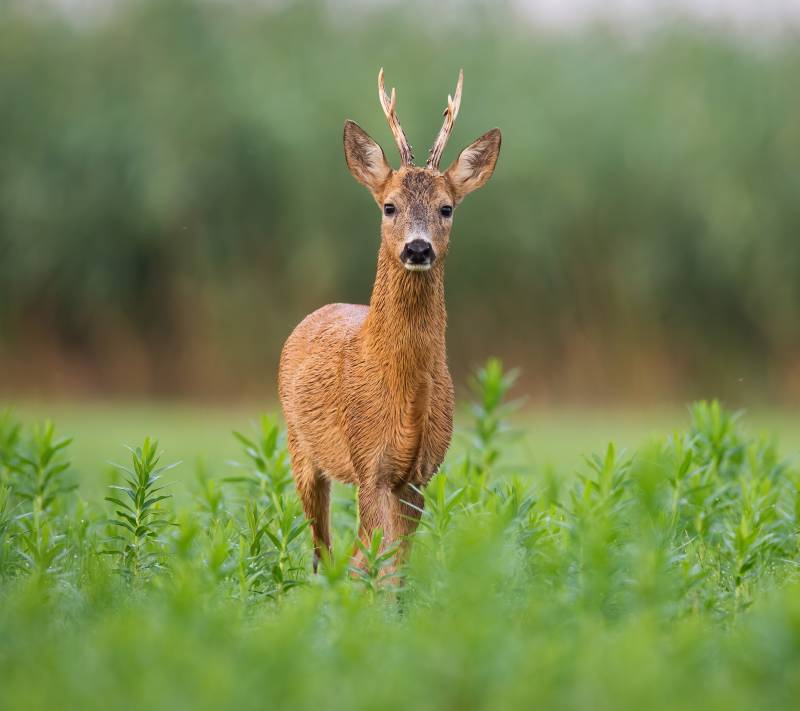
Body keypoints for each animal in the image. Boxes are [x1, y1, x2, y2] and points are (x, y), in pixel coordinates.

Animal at [276, 71, 500, 572]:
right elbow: (375, 562)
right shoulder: (368, 464)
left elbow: (397, 566)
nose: (417, 248)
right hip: (300, 448)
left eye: (446, 207)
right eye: (389, 206)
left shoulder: (420, 473)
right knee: (322, 547)